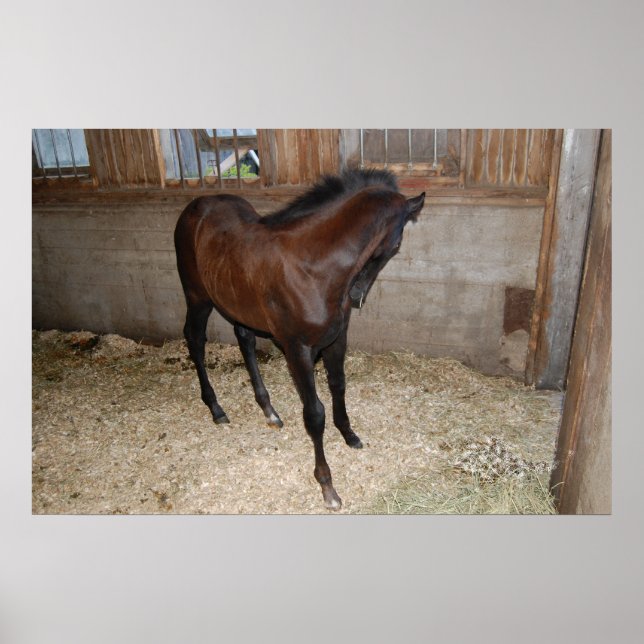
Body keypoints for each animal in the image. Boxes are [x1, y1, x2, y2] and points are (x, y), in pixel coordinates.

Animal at [174, 168, 425, 510]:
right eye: (396, 243)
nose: (356, 295)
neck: (313, 268)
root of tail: (196, 206)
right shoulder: (297, 349)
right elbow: (315, 414)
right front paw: (327, 487)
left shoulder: (336, 339)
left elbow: (338, 385)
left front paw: (349, 434)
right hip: (197, 296)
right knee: (195, 341)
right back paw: (216, 408)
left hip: (237, 301)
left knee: (244, 339)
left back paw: (270, 411)